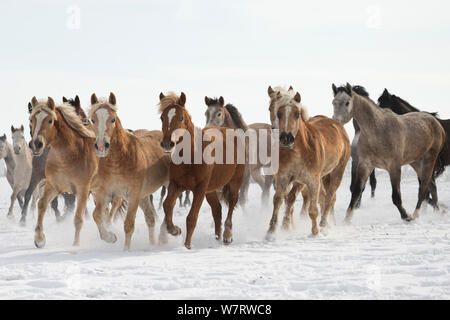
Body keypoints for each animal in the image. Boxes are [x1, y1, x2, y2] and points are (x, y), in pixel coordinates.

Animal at [29, 97, 98, 248]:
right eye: (31, 119)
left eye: (50, 120)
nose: (36, 144)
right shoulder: (53, 186)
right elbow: (42, 204)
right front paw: (39, 239)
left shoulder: (83, 189)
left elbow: (78, 218)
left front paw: (76, 244)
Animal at [87, 92, 170, 250]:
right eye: (92, 119)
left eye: (112, 119)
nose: (101, 146)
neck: (118, 161)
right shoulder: (104, 193)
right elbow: (97, 215)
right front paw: (110, 237)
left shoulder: (133, 195)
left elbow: (129, 225)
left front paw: (126, 250)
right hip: (144, 196)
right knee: (150, 218)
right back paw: (153, 244)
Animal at [156, 91, 244, 249]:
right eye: (162, 117)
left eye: (181, 117)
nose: (167, 144)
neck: (192, 155)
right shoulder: (176, 185)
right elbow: (167, 205)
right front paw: (174, 230)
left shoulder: (200, 189)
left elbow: (191, 217)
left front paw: (187, 246)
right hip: (211, 190)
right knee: (217, 210)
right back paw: (217, 239)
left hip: (235, 181)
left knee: (232, 204)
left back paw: (227, 236)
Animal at [266, 90, 350, 238]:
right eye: (278, 113)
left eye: (297, 114)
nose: (286, 138)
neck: (298, 151)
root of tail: (338, 125)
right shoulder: (283, 178)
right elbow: (278, 201)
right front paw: (271, 232)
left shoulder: (312, 180)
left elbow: (313, 209)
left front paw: (315, 232)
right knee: (323, 197)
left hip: (337, 172)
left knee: (329, 198)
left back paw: (324, 225)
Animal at [332, 84, 444, 221]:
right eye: (333, 102)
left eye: (347, 102)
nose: (336, 122)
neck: (378, 129)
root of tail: (436, 123)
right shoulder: (365, 165)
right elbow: (356, 191)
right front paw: (347, 219)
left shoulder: (394, 166)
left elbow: (396, 197)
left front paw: (406, 216)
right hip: (416, 162)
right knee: (431, 185)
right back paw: (437, 212)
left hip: (429, 160)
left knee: (424, 188)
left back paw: (416, 215)